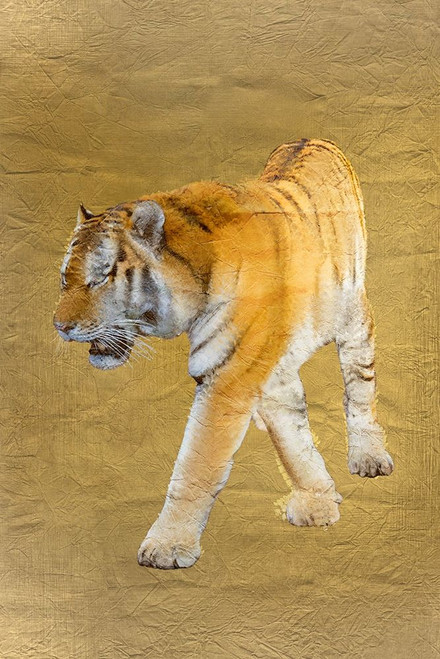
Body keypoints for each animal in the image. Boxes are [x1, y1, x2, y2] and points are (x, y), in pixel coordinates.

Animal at [53, 138, 394, 569]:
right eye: (64, 279)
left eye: (100, 278)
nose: (59, 327)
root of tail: (311, 139)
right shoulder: (263, 372)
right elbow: (292, 440)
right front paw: (318, 501)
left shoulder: (228, 376)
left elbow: (197, 463)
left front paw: (167, 547)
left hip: (353, 319)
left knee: (359, 390)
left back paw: (369, 456)